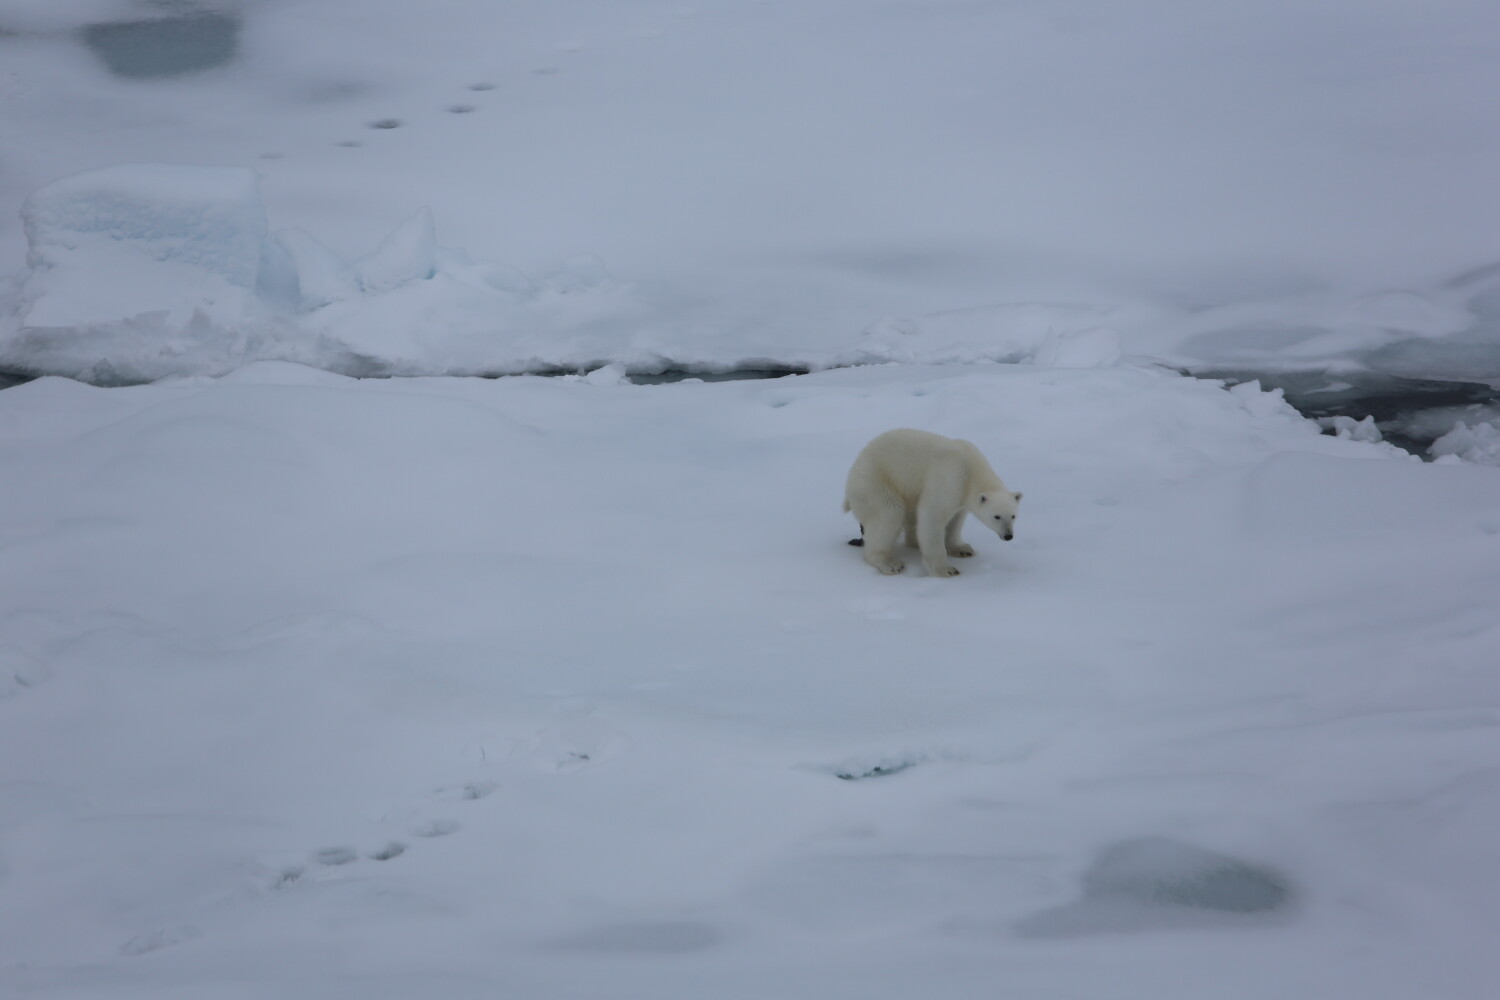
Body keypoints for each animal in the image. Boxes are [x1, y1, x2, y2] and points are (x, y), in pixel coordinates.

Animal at [843, 428, 1021, 577]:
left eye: (1013, 516)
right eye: (996, 516)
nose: (1008, 536)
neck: (971, 468)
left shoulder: (960, 495)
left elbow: (956, 519)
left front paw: (962, 549)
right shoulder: (949, 478)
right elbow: (932, 516)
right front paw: (946, 569)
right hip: (875, 483)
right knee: (889, 514)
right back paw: (890, 563)